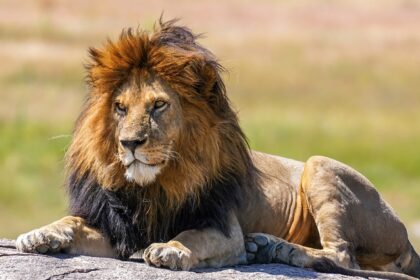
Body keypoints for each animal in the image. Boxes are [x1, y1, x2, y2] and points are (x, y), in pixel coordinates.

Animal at [14, 18, 418, 278]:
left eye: (159, 105)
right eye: (120, 107)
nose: (129, 143)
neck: (155, 186)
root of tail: (409, 242)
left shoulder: (223, 227)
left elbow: (191, 236)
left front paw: (171, 249)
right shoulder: (119, 230)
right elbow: (71, 222)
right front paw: (39, 235)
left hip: (320, 164)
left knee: (343, 257)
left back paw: (276, 249)